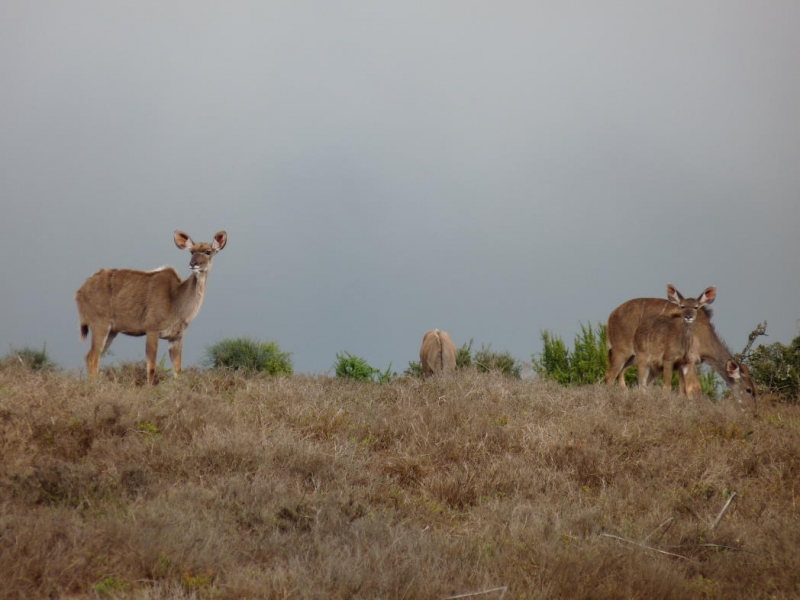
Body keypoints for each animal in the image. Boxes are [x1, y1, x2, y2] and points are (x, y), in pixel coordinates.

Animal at [75, 230, 227, 384]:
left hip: (112, 331)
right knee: (92, 357)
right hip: (100, 325)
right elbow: (152, 367)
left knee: (91, 357)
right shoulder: (152, 330)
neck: (175, 300)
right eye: (191, 252)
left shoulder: (176, 337)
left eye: (208, 251)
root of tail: (80, 291)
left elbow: (177, 370)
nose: (193, 264)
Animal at [608, 284, 756, 400]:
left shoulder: (683, 363)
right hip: (623, 352)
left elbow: (684, 390)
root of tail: (612, 314)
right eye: (748, 390)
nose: (753, 410)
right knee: (611, 375)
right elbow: (693, 389)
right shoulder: (689, 360)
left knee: (622, 375)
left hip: (634, 358)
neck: (702, 334)